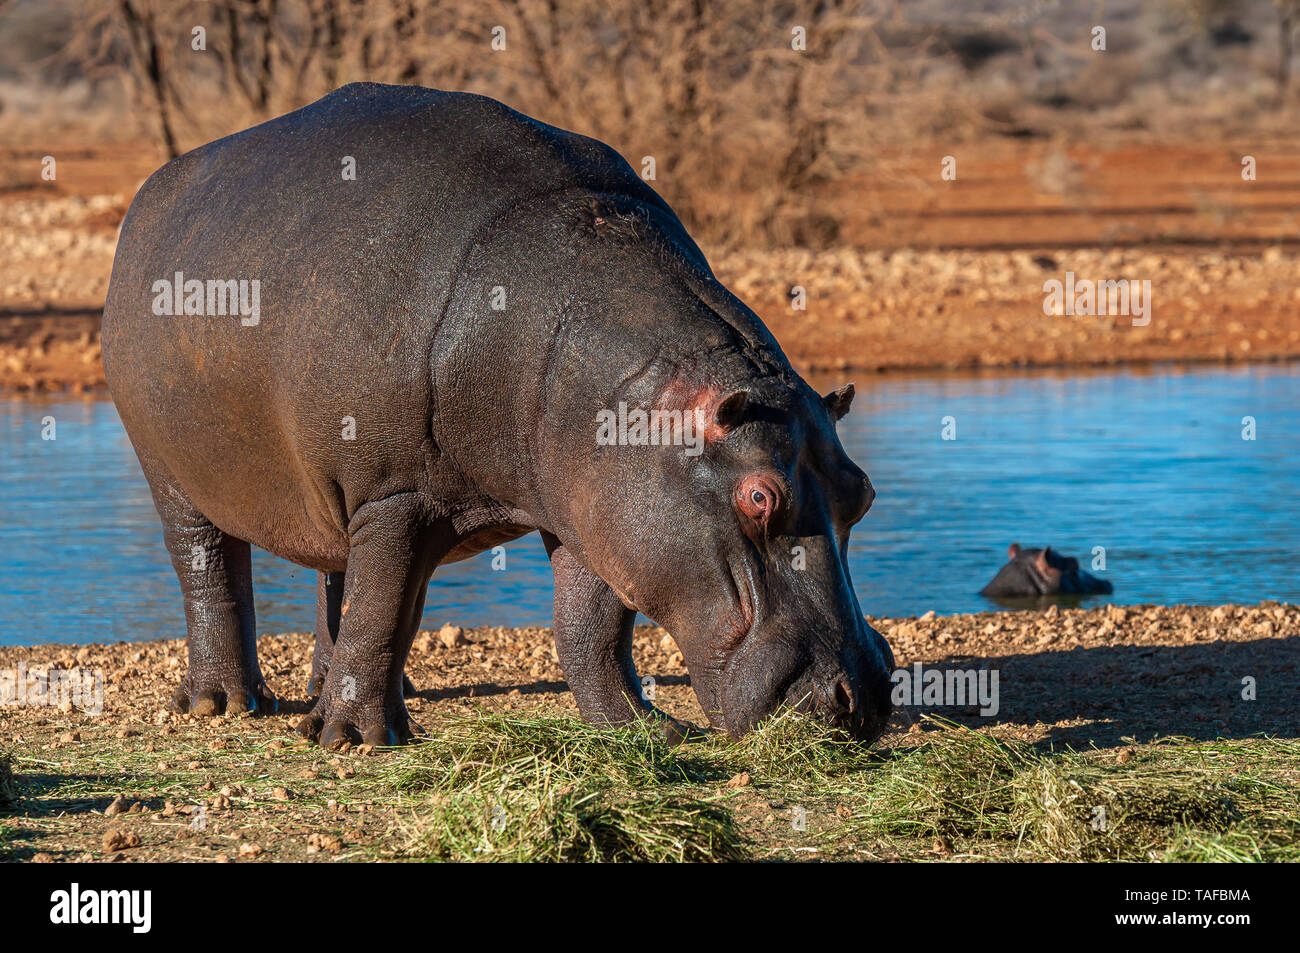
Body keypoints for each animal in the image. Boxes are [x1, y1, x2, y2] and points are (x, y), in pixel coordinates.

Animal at [101, 85, 899, 748]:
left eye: (862, 493)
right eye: (759, 497)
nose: (862, 698)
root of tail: (150, 196)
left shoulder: (593, 508)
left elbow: (590, 627)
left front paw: (642, 731)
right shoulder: (396, 493)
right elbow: (387, 604)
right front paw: (356, 741)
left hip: (331, 484)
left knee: (336, 577)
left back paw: (335, 691)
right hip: (174, 471)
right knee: (210, 569)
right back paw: (226, 705)